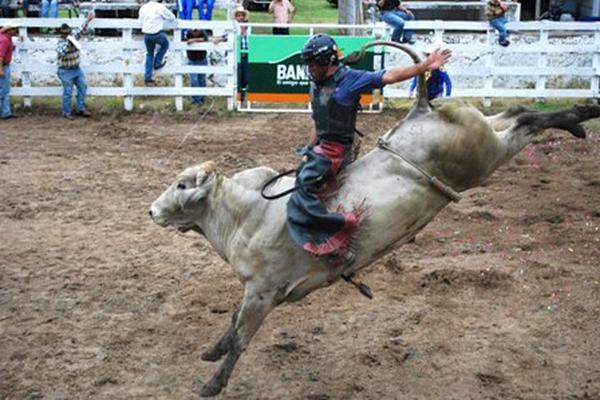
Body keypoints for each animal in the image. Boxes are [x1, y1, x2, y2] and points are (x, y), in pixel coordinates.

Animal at [149, 42, 600, 396]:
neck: (250, 215)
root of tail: (422, 107)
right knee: (516, 112)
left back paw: (580, 115)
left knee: (527, 121)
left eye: (183, 185)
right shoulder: (253, 292)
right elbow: (232, 320)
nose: (151, 210)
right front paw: (213, 350)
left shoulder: (262, 292)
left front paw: (213, 383)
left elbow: (243, 335)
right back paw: (578, 116)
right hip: (482, 135)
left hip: (481, 160)